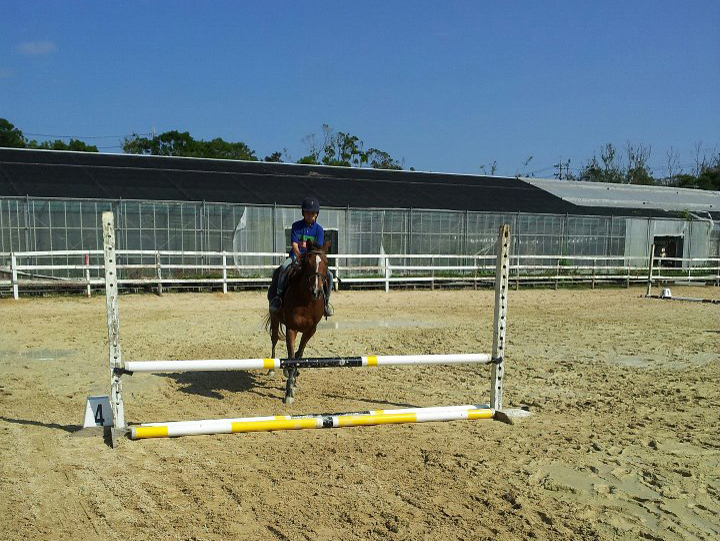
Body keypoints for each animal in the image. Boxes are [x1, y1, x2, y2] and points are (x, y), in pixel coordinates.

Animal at [266, 240, 331, 403]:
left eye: (326, 263)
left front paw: (293, 380)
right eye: (308, 263)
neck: (307, 301)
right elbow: (291, 357)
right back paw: (271, 369)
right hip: (275, 318)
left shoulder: (310, 330)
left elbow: (299, 355)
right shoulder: (291, 329)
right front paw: (288, 392)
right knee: (274, 340)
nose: (316, 291)